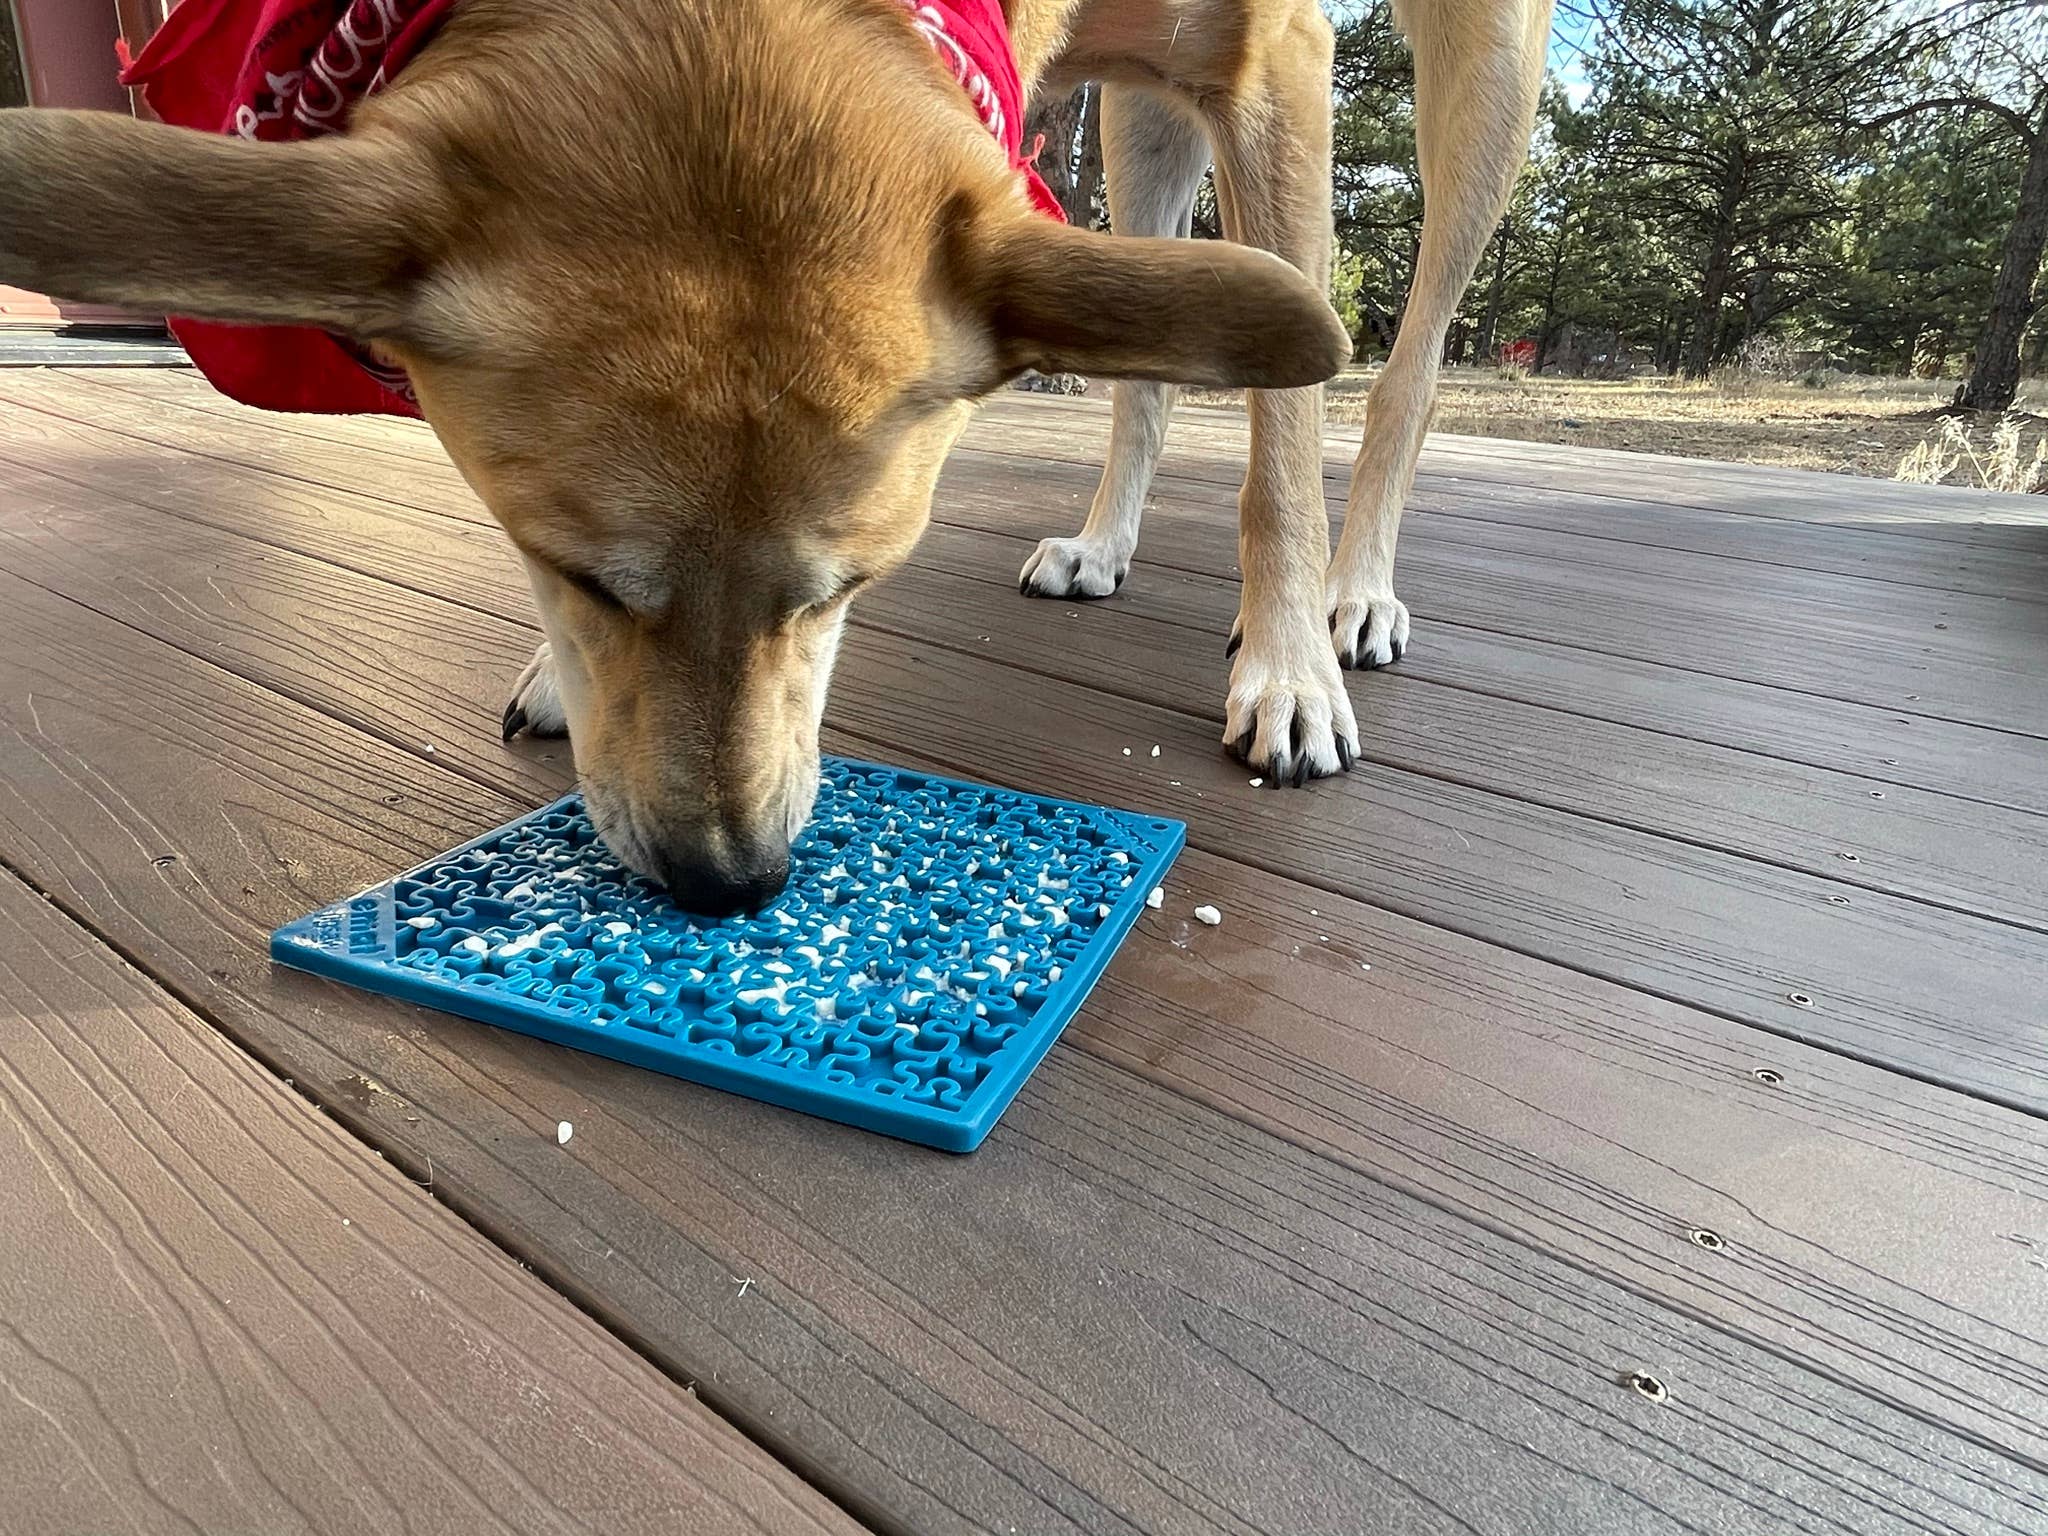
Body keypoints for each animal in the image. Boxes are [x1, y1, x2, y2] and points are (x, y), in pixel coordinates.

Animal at [0, 0, 1540, 913]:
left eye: (848, 590)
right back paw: (1104, 540)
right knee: (1156, 364)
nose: (729, 887)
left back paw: (1351, 600)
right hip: (1140, 126)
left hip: (1483, 79)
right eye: (573, 573)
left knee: (1405, 364)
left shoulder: (1276, 56)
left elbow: (1284, 443)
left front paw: (1285, 668)